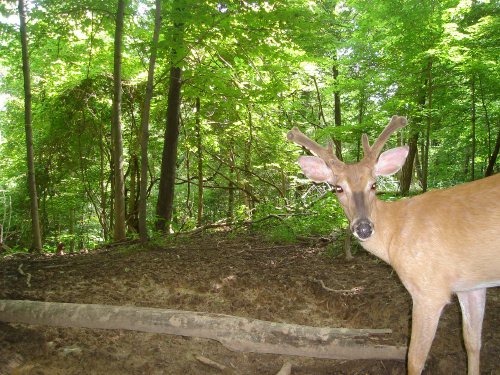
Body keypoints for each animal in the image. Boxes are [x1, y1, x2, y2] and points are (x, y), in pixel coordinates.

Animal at [288, 116, 500, 374]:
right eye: (338, 188)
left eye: (374, 184)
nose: (364, 228)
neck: (395, 235)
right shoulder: (472, 285)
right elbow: (472, 342)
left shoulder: (430, 289)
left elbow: (414, 359)